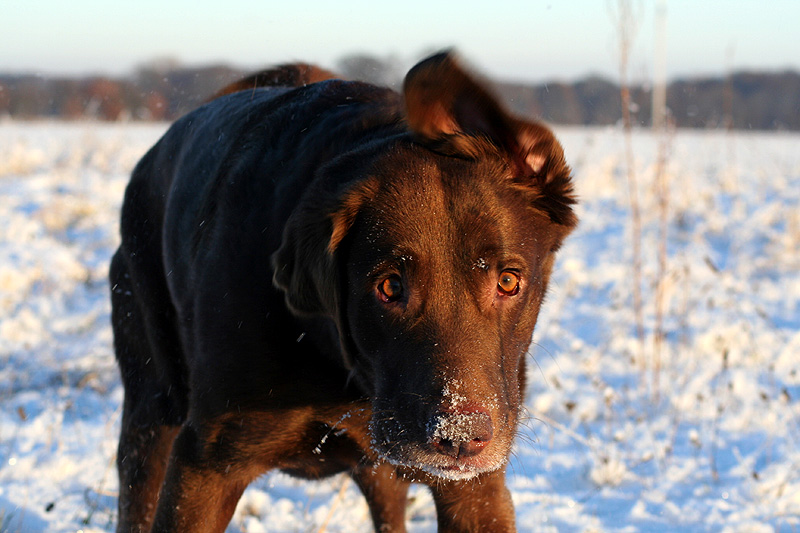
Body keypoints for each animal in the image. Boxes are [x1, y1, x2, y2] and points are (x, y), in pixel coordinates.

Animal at [111, 51, 576, 532]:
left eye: (508, 281)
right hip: (150, 409)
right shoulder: (205, 465)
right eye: (389, 286)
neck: (340, 370)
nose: (460, 437)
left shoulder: (474, 491)